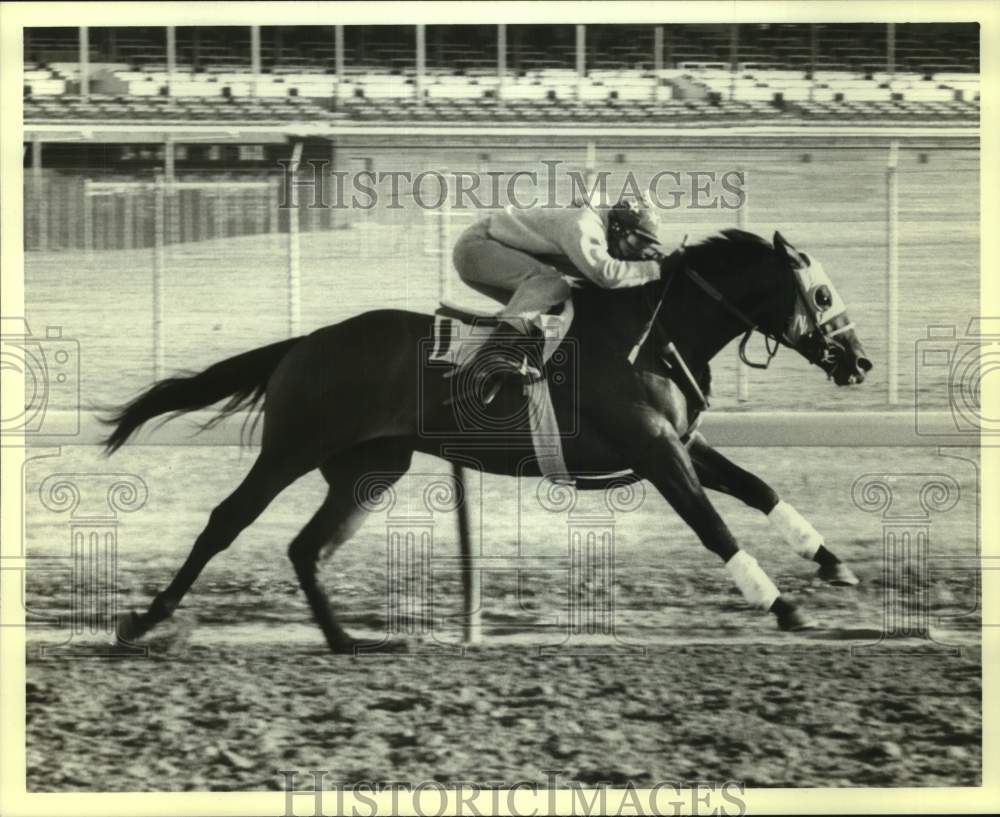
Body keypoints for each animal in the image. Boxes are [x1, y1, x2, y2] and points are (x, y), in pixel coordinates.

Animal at [105, 230, 872, 652]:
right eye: (822, 295)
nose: (859, 361)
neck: (653, 333)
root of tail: (304, 343)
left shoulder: (679, 441)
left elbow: (758, 487)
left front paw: (834, 564)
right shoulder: (655, 450)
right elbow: (714, 526)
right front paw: (782, 604)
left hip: (369, 470)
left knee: (307, 548)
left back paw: (349, 640)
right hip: (290, 450)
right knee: (225, 522)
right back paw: (144, 622)